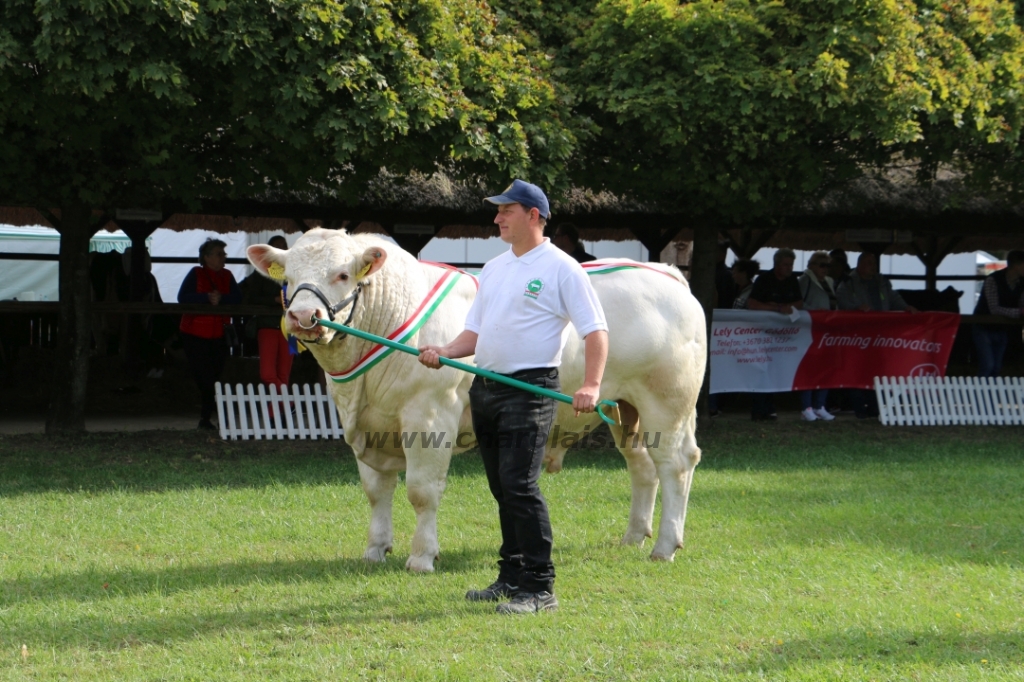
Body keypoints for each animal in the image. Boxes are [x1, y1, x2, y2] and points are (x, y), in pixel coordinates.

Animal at [249, 228, 704, 569]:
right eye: (287, 277)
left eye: (343, 274)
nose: (302, 317)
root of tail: (663, 271)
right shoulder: (365, 427)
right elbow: (377, 491)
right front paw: (375, 550)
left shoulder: (429, 417)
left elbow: (421, 490)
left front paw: (422, 557)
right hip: (625, 411)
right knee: (642, 468)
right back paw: (634, 536)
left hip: (667, 404)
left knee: (676, 465)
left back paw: (665, 546)